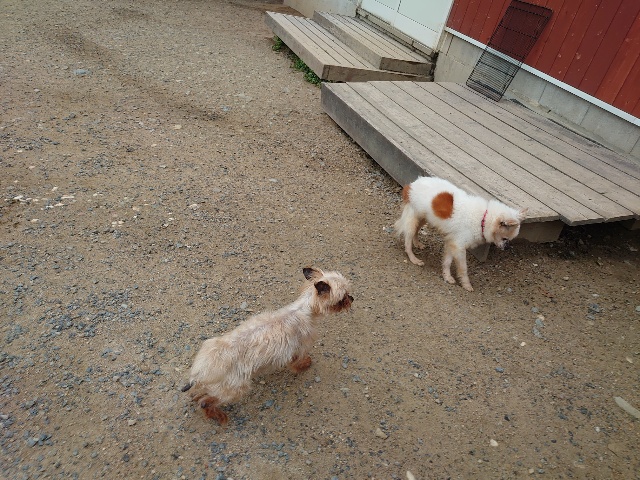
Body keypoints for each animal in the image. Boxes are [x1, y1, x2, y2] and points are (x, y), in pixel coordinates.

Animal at [181, 267, 353, 424]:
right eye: (343, 297)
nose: (352, 298)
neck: (305, 310)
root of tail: (200, 372)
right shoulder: (301, 347)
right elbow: (299, 361)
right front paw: (305, 365)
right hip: (235, 389)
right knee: (205, 402)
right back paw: (217, 415)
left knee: (200, 395)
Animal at [394, 176, 526, 291]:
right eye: (505, 238)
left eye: (509, 239)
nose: (507, 248)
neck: (483, 219)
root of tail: (412, 184)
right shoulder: (459, 247)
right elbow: (463, 269)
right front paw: (466, 284)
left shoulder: (451, 242)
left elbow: (447, 262)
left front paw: (447, 277)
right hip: (413, 219)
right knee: (408, 241)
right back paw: (414, 259)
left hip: (424, 218)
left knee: (417, 231)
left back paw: (417, 243)